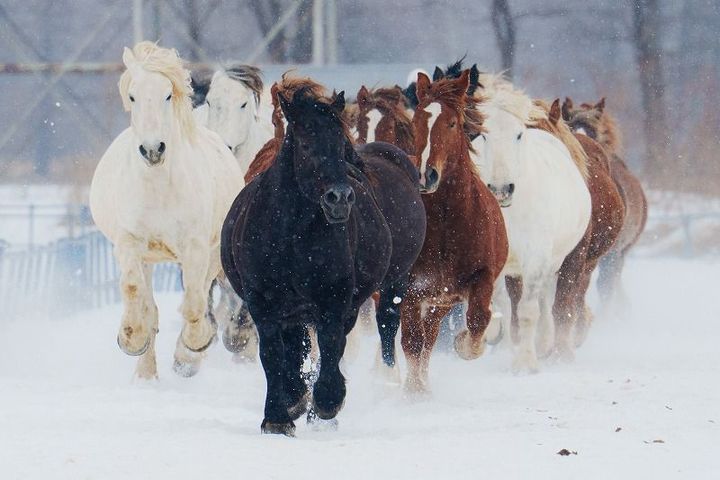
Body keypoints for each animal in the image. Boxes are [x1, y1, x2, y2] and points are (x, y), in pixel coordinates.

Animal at [89, 42, 244, 379]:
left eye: (168, 95)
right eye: (133, 95)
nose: (152, 150)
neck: (159, 186)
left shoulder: (196, 247)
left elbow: (195, 304)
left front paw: (191, 351)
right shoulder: (129, 243)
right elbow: (134, 291)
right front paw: (131, 339)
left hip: (213, 252)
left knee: (200, 295)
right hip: (148, 258)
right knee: (150, 305)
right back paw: (146, 375)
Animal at [220, 75, 426, 435]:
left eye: (341, 145)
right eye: (305, 145)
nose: (339, 198)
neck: (291, 234)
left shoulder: (335, 299)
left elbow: (331, 347)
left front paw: (326, 403)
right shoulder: (263, 301)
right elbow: (273, 354)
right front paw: (279, 414)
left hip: (391, 283)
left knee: (374, 325)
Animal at [402, 70, 508, 392]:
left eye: (452, 123)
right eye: (416, 122)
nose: (425, 175)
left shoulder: (479, 279)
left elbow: (478, 320)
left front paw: (464, 344)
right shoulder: (409, 289)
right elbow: (411, 342)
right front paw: (413, 393)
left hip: (440, 303)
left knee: (430, 336)